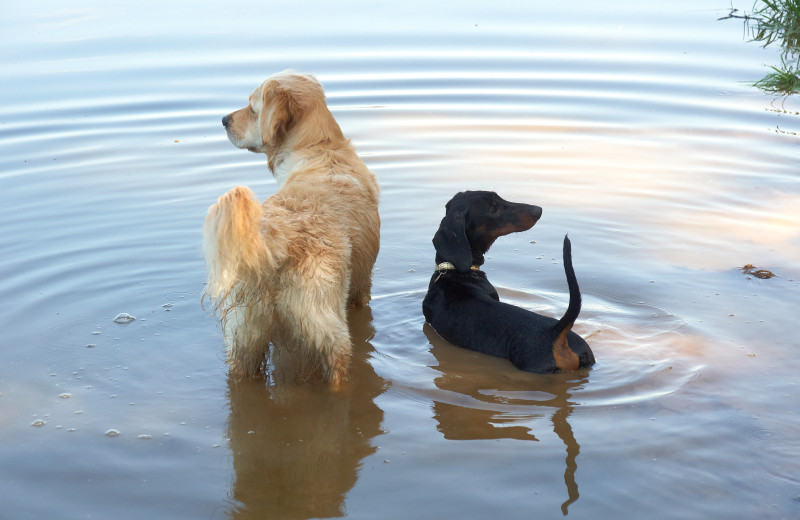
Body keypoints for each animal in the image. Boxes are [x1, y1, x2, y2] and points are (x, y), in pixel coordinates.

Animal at [205, 71, 382, 384]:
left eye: (252, 108)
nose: (224, 119)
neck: (319, 146)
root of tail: (273, 246)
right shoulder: (361, 287)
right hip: (326, 325)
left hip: (244, 338)